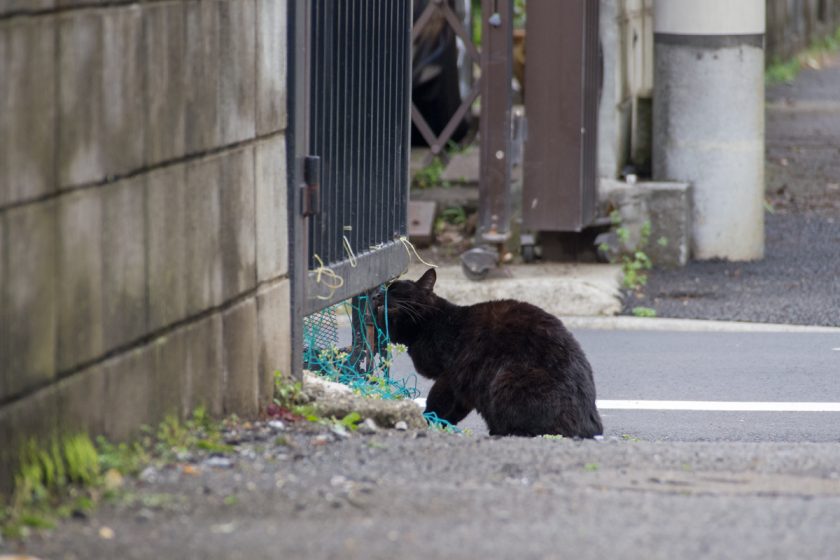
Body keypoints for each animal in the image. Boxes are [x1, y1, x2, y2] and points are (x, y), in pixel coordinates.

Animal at [380, 268, 604, 438]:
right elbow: (454, 409)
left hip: (508, 379)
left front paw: (425, 422)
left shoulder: (450, 376)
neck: (432, 323)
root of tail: (590, 426)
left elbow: (436, 402)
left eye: (396, 290)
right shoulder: (464, 386)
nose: (377, 295)